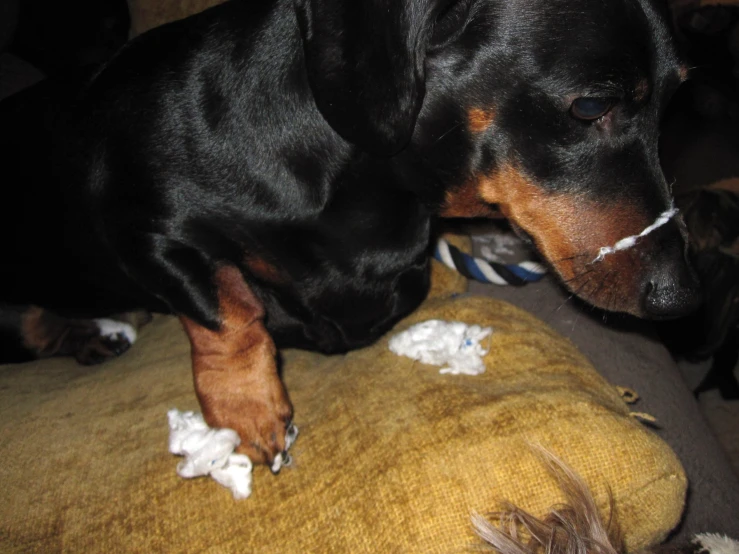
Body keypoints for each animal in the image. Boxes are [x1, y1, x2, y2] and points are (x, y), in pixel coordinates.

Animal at [0, 0, 700, 466]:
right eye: (590, 105)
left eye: (675, 104)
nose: (679, 299)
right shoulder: (141, 229)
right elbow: (229, 312)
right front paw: (248, 409)